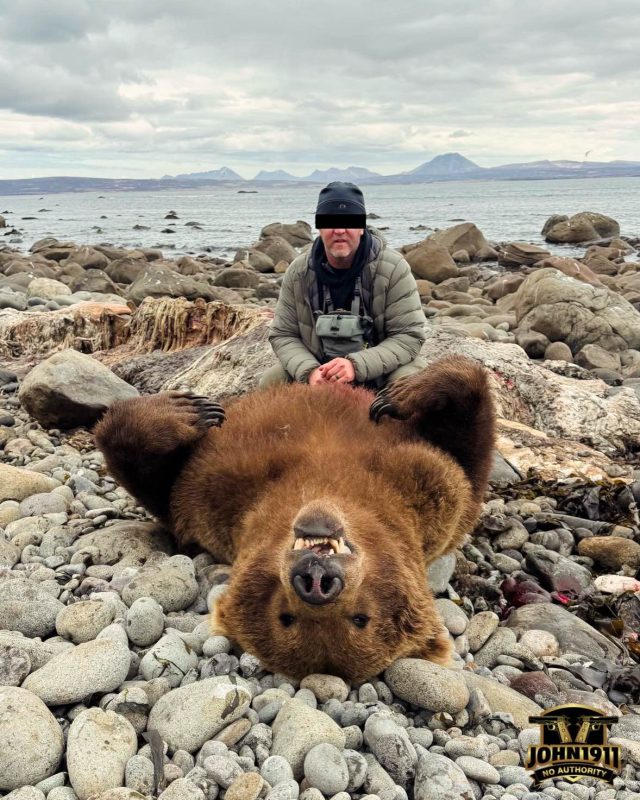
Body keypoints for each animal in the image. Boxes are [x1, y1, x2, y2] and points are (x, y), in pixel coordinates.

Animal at [94, 356, 495, 682]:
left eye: (360, 619)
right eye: (285, 617)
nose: (316, 582)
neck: (323, 483)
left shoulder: (437, 499)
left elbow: (469, 456)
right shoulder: (213, 487)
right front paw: (188, 410)